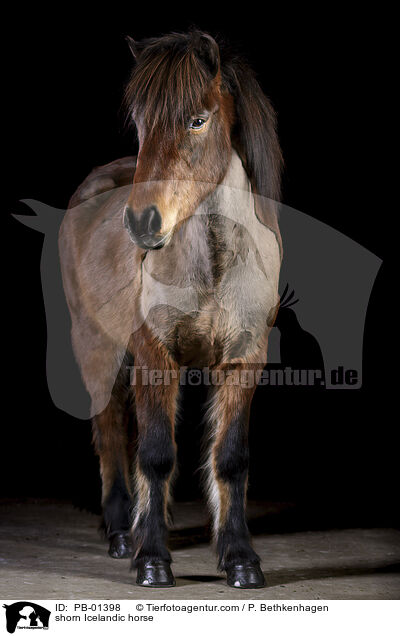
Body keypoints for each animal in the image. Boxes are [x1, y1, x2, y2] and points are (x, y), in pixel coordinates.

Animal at [59, 28, 282, 588]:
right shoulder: (155, 355)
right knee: (112, 432)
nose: (142, 222)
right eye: (141, 122)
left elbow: (230, 458)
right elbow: (156, 455)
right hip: (97, 348)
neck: (214, 265)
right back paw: (123, 531)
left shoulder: (244, 361)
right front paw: (153, 560)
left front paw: (240, 558)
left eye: (197, 120)